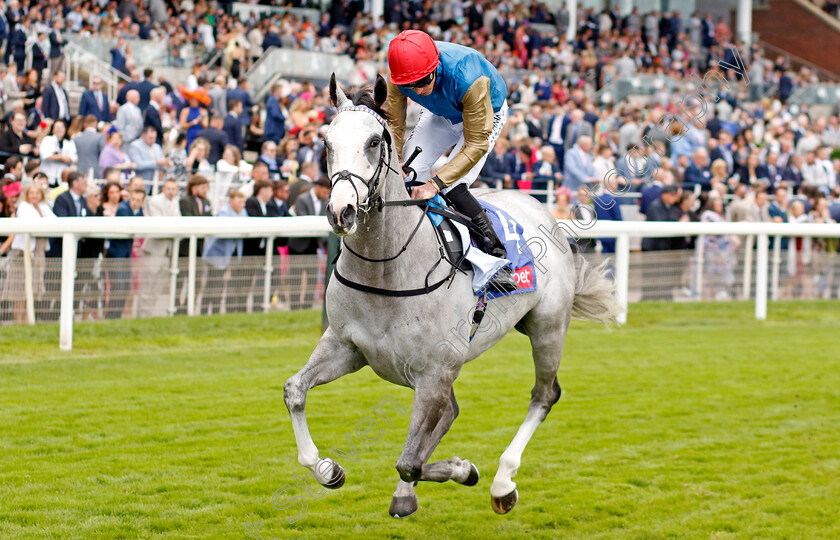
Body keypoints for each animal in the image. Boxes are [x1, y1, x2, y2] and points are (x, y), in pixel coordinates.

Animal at [286, 76, 620, 520]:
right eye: (326, 142)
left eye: (374, 141)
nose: (342, 212)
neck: (386, 271)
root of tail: (543, 211)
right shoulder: (347, 347)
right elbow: (294, 391)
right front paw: (327, 469)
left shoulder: (434, 374)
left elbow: (409, 461)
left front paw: (465, 470)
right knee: (451, 414)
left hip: (548, 326)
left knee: (543, 395)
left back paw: (503, 482)